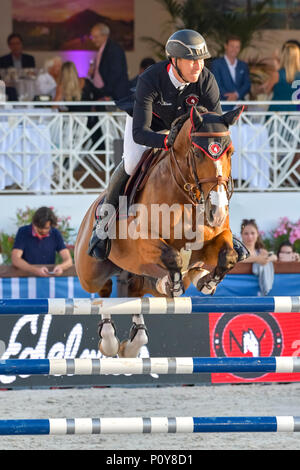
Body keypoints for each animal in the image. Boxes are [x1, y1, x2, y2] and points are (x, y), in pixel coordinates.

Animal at [74, 104, 244, 358]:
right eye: (197, 154)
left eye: (230, 153)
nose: (217, 211)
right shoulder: (142, 242)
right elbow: (172, 256)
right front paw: (172, 282)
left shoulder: (217, 237)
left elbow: (228, 255)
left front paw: (208, 282)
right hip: (91, 273)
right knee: (103, 293)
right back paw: (110, 341)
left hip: (138, 277)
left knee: (135, 294)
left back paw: (133, 344)